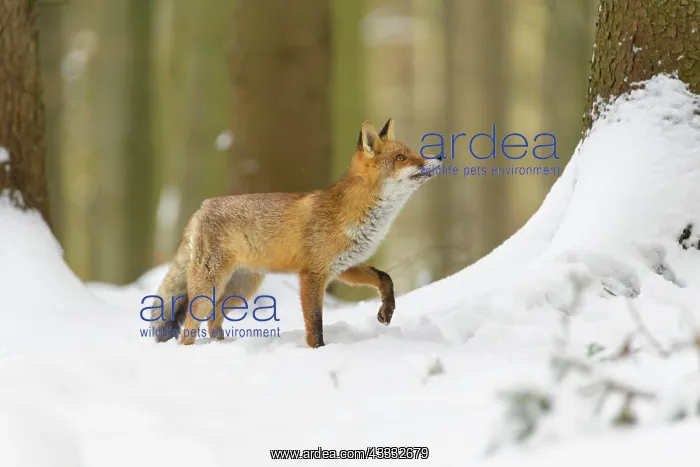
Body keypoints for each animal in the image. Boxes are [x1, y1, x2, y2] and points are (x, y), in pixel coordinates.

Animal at [151, 118, 441, 348]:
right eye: (401, 158)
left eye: (411, 152)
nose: (438, 158)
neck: (353, 214)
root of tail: (202, 207)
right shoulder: (312, 274)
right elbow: (315, 325)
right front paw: (319, 352)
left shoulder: (345, 266)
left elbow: (385, 278)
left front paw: (387, 311)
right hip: (209, 287)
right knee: (189, 327)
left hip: (241, 289)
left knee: (214, 321)